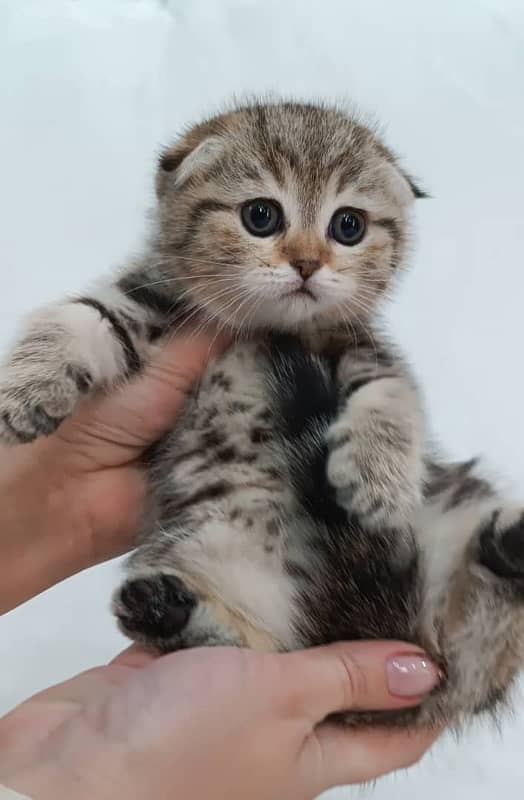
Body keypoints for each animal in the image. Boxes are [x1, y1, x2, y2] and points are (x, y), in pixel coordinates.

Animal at [1, 101, 524, 732]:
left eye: (348, 226)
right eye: (261, 216)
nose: (306, 264)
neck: (265, 330)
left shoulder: (360, 345)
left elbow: (392, 394)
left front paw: (378, 479)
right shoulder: (146, 299)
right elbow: (77, 316)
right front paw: (28, 389)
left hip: (458, 517)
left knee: (485, 625)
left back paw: (511, 544)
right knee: (257, 644)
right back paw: (168, 611)